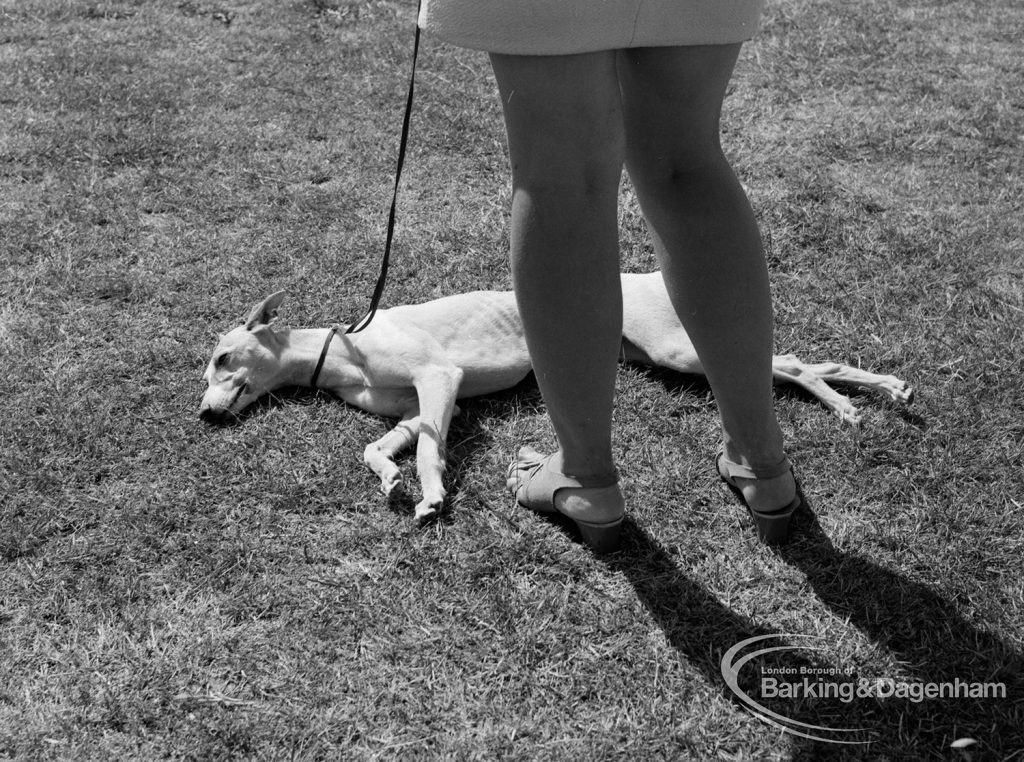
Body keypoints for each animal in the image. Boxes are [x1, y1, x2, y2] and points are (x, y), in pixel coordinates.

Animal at [199, 270, 913, 520]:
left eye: (222, 358)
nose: (204, 414)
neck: (340, 350)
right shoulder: (414, 409)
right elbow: (382, 447)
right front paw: (391, 478)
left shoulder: (440, 380)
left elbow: (430, 451)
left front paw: (430, 494)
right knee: (795, 362)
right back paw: (877, 390)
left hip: (676, 349)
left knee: (787, 362)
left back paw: (851, 400)